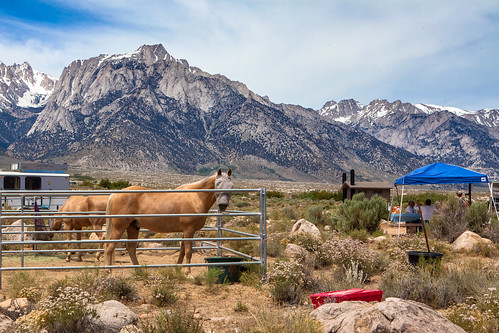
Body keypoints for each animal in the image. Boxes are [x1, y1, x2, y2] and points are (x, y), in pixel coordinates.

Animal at [104, 169, 233, 270]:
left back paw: (138, 271)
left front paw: (178, 270)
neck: (195, 197)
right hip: (119, 227)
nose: (222, 205)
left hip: (133, 227)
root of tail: (114, 195)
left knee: (130, 249)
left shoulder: (185, 231)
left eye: (231, 186)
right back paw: (109, 271)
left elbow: (182, 251)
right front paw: (188, 273)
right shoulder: (189, 230)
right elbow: (188, 252)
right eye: (218, 183)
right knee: (110, 247)